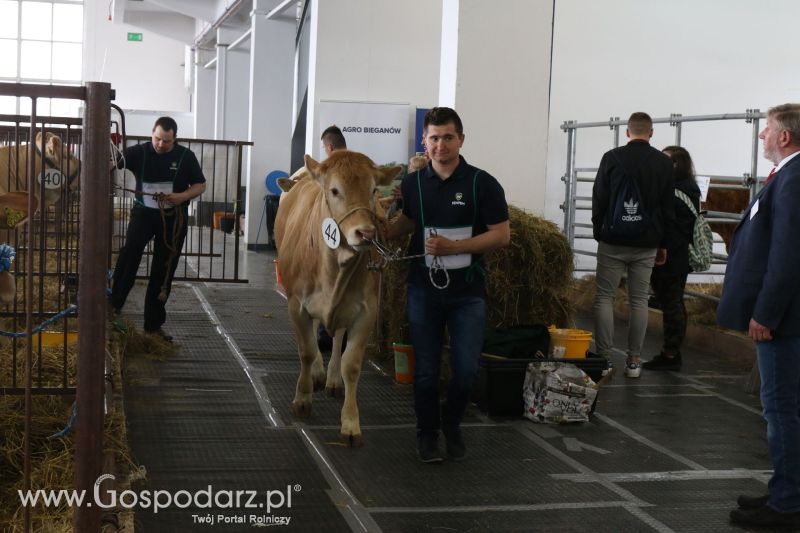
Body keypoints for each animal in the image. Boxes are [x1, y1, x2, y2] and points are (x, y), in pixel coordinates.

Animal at [276, 150, 400, 444]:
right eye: (334, 190)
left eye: (373, 189)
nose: (366, 233)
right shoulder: (296, 305)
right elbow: (307, 351)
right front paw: (303, 398)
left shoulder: (366, 312)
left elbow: (351, 364)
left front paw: (351, 423)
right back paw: (319, 374)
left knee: (336, 338)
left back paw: (332, 378)